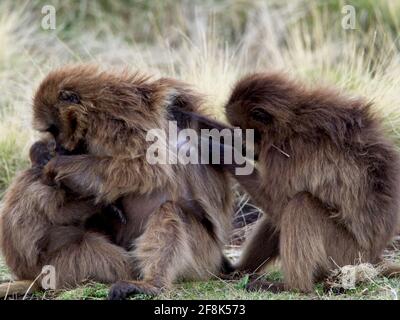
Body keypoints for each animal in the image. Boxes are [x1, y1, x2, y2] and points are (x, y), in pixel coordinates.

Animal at [29, 65, 234, 300]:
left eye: (54, 128)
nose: (58, 146)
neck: (94, 107)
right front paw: (40, 153)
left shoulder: (115, 123)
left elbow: (146, 169)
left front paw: (54, 164)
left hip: (203, 255)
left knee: (170, 210)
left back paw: (152, 284)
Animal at [180, 72, 400, 292]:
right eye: (238, 129)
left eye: (245, 129)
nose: (243, 144)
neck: (292, 119)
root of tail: (374, 257)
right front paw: (192, 118)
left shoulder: (288, 152)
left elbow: (277, 204)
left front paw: (219, 151)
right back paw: (237, 272)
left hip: (346, 255)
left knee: (299, 204)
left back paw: (291, 287)